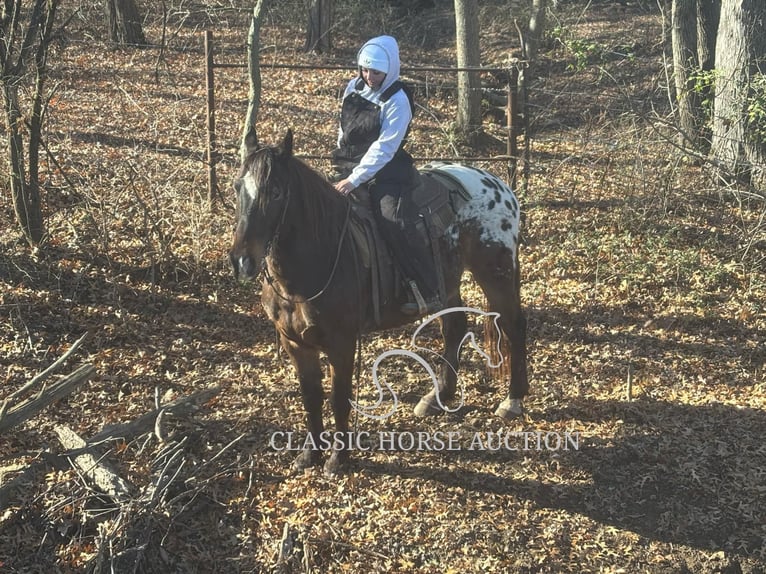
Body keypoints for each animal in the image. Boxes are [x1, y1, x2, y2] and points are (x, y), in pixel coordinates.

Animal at [228, 130, 528, 476]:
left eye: (276, 192)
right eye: (237, 187)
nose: (241, 261)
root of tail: (500, 186)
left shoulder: (342, 342)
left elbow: (339, 398)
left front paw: (338, 458)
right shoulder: (294, 342)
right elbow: (310, 396)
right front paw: (310, 454)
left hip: (496, 273)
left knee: (513, 326)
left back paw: (513, 400)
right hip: (446, 286)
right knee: (454, 328)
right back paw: (438, 396)